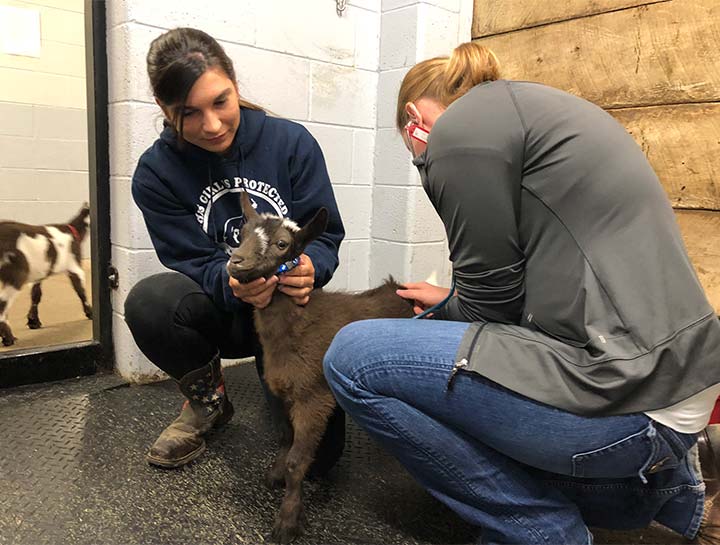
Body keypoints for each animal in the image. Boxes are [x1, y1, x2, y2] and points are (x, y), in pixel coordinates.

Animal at [0, 202, 93, 346]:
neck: (74, 230)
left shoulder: (39, 273)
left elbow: (36, 294)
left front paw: (33, 321)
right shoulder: (75, 266)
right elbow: (81, 290)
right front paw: (90, 313)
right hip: (15, 275)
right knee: (2, 307)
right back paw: (8, 338)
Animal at [228, 190, 414, 540]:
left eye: (282, 244)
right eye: (242, 234)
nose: (235, 262)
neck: (296, 326)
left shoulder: (314, 398)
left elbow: (298, 461)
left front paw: (287, 520)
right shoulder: (282, 393)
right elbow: (284, 441)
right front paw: (273, 475)